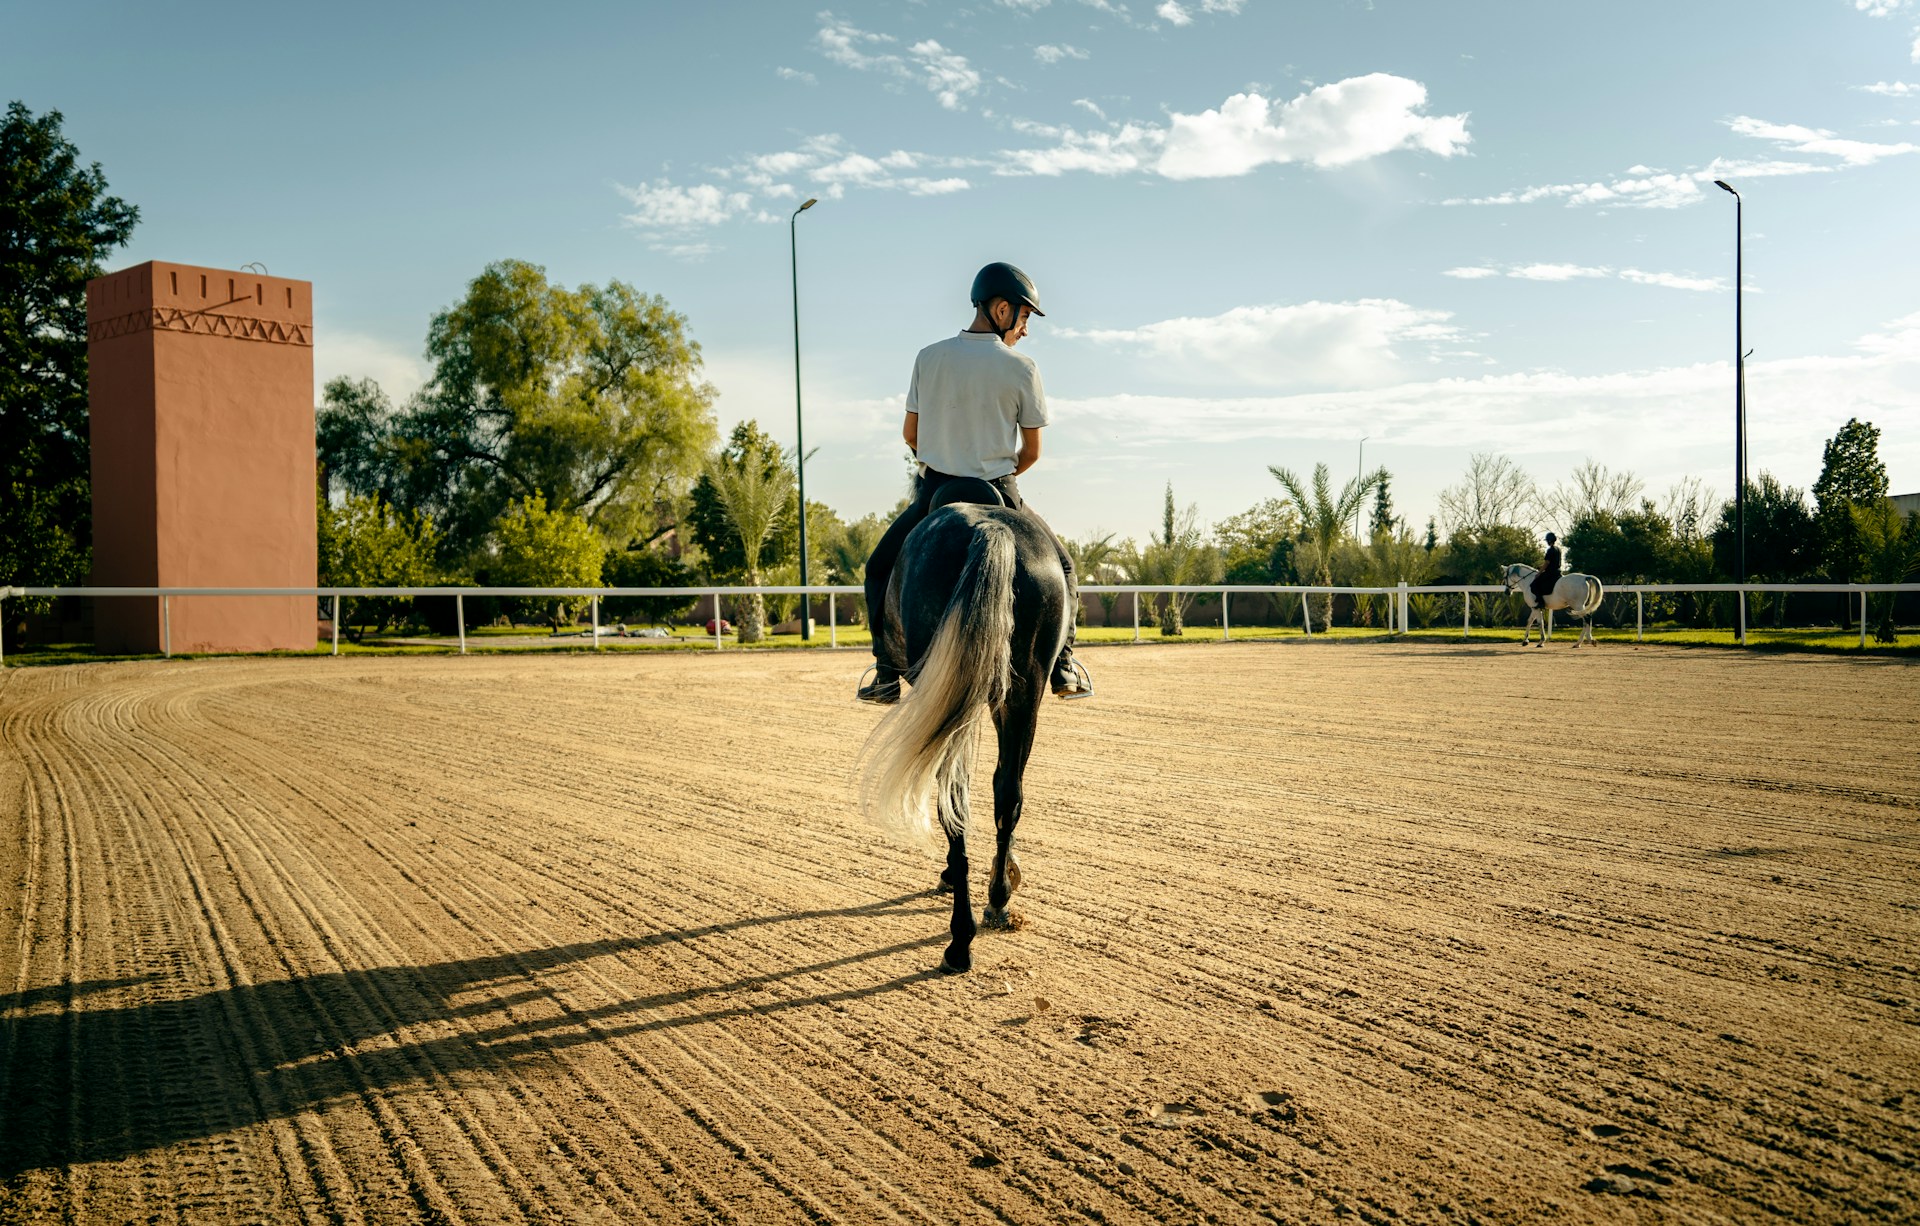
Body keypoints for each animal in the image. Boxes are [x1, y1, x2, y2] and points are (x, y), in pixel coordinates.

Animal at [860, 478, 1072, 975]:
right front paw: (1009, 873)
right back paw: (997, 901)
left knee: (953, 797)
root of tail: (989, 529)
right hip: (1021, 692)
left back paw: (960, 940)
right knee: (1007, 792)